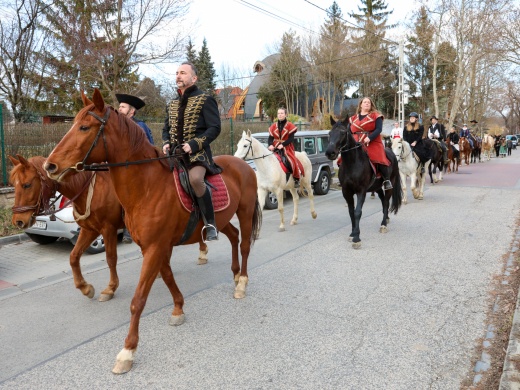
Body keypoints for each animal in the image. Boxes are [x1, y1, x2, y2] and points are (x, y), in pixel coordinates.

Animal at [43, 89, 262, 374]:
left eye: (84, 127)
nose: (50, 166)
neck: (147, 187)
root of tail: (243, 164)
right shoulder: (155, 246)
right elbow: (167, 277)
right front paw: (178, 309)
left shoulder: (155, 246)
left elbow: (138, 299)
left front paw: (127, 351)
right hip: (222, 220)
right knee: (234, 237)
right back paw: (235, 275)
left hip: (245, 212)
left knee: (245, 244)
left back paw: (242, 283)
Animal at [324, 117, 402, 248]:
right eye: (329, 133)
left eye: (343, 132)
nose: (330, 153)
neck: (352, 164)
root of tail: (390, 152)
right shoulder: (347, 192)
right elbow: (351, 212)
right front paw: (352, 233)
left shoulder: (361, 191)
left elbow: (358, 212)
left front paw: (356, 238)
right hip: (376, 187)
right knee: (383, 201)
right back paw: (386, 218)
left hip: (390, 184)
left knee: (386, 202)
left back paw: (383, 224)